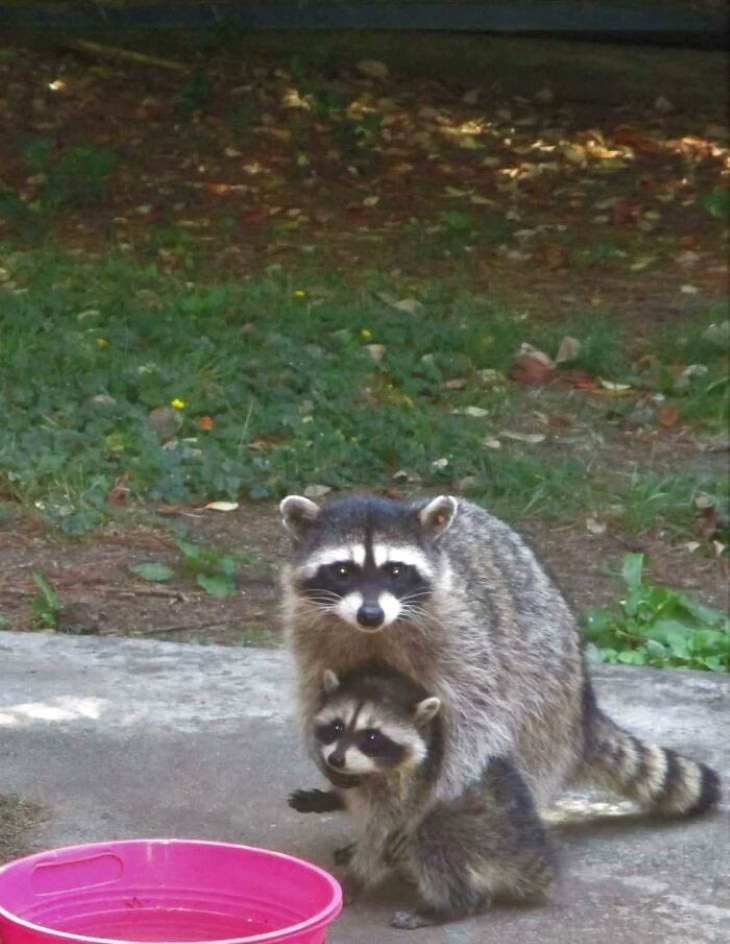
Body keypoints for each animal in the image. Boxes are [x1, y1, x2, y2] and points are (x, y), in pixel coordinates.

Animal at [278, 494, 716, 820]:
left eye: (396, 571)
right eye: (343, 571)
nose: (370, 614)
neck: (375, 632)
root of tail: (582, 712)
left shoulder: (462, 638)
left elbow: (475, 719)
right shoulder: (314, 635)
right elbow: (319, 696)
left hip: (545, 688)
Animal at [288, 660, 552, 932]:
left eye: (371, 737)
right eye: (337, 727)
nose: (336, 759)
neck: (371, 771)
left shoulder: (409, 795)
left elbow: (380, 840)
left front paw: (354, 879)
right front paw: (330, 797)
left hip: (479, 831)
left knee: (434, 840)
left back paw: (450, 906)